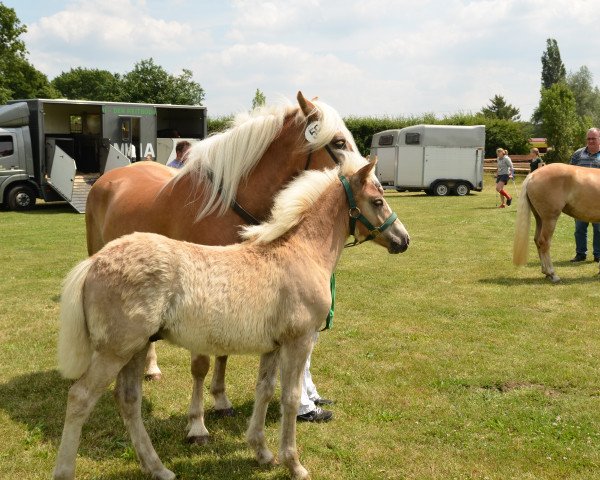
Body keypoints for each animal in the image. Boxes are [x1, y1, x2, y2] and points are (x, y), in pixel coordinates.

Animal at [52, 161, 408, 480]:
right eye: (377, 201)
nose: (403, 239)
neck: (300, 251)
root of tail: (95, 261)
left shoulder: (273, 346)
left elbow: (264, 391)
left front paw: (262, 452)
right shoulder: (299, 341)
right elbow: (291, 399)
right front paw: (293, 464)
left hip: (135, 349)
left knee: (128, 400)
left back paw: (158, 468)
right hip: (115, 350)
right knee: (80, 397)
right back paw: (66, 471)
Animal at [85, 92, 366, 444]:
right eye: (339, 142)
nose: (372, 180)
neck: (224, 206)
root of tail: (109, 178)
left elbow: (223, 353)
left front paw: (220, 401)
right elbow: (201, 363)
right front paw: (197, 425)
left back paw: (151, 368)